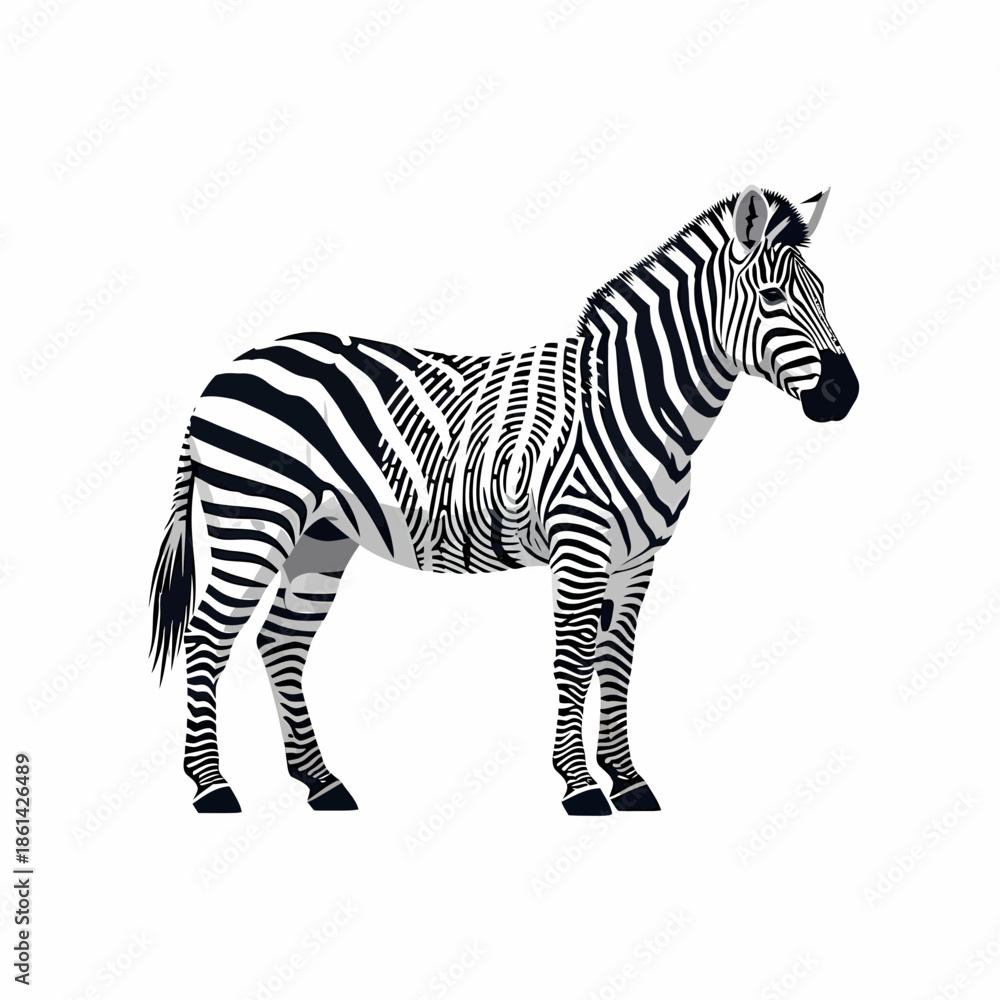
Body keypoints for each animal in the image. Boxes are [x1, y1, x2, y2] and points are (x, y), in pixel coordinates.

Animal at [150, 185, 858, 816]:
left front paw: (628, 781)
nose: (844, 395)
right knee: (207, 639)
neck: (631, 406)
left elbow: (617, 664)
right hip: (253, 518)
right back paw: (212, 787)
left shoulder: (638, 559)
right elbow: (574, 661)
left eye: (823, 294)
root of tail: (226, 370)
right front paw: (581, 788)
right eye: (772, 297)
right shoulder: (580, 547)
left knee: (281, 641)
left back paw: (321, 783)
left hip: (322, 535)